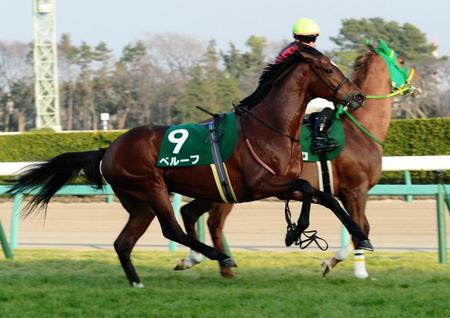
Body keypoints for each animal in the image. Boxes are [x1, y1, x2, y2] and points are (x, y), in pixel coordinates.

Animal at [6, 42, 370, 288]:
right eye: (328, 70)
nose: (357, 97)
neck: (269, 128)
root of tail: (109, 148)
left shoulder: (285, 185)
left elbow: (325, 197)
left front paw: (359, 237)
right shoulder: (262, 185)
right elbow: (309, 188)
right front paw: (294, 232)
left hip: (138, 203)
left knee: (124, 242)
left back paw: (138, 281)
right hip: (151, 187)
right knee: (172, 228)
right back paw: (220, 256)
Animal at [175, 39, 418, 278]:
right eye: (401, 61)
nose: (358, 96)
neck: (359, 129)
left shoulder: (337, 192)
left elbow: (354, 224)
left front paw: (330, 261)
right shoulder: (355, 190)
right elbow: (361, 228)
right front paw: (357, 271)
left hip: (215, 190)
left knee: (191, 212)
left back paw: (195, 259)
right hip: (228, 192)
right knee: (213, 222)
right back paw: (222, 265)